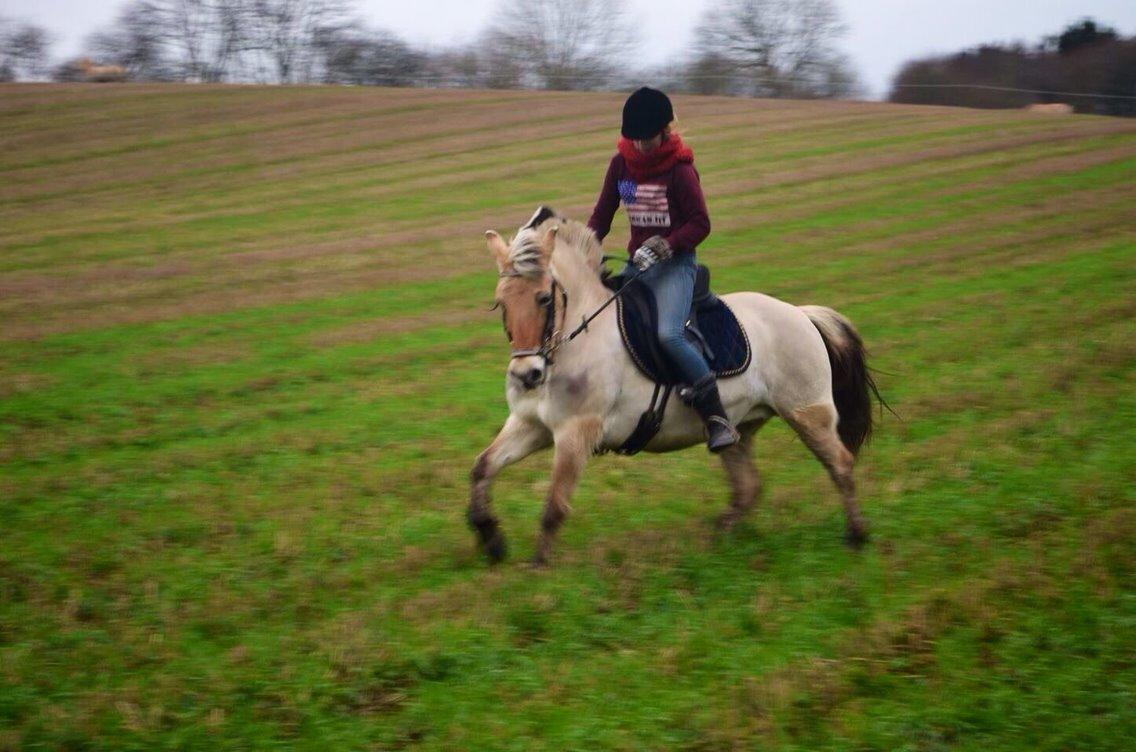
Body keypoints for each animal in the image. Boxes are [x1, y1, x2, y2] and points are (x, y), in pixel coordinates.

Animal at [465, 207, 881, 565]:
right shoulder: (531, 425)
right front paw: (491, 539)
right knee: (748, 486)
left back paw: (856, 537)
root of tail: (801, 314)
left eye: (544, 298)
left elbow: (555, 506)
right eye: (500, 303)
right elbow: (482, 468)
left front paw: (536, 569)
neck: (573, 338)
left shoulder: (576, 433)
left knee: (840, 464)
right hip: (739, 427)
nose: (526, 375)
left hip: (807, 413)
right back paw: (717, 540)